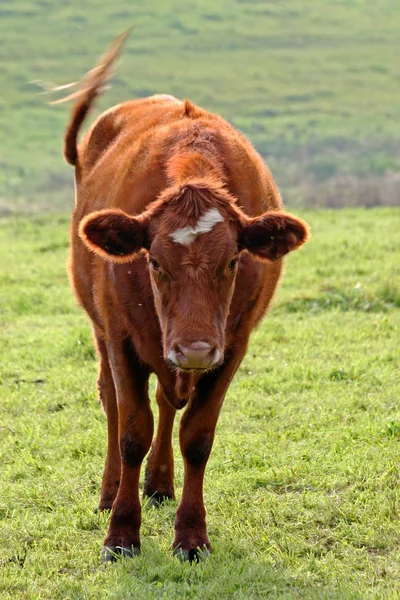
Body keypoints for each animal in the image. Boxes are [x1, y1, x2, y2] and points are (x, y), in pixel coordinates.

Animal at [62, 34, 310, 564]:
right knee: (112, 401)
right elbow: (132, 429)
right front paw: (121, 534)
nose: (194, 349)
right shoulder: (122, 337)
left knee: (166, 401)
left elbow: (196, 436)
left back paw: (159, 484)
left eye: (233, 262)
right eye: (154, 262)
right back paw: (111, 490)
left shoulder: (233, 345)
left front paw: (192, 535)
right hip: (103, 332)